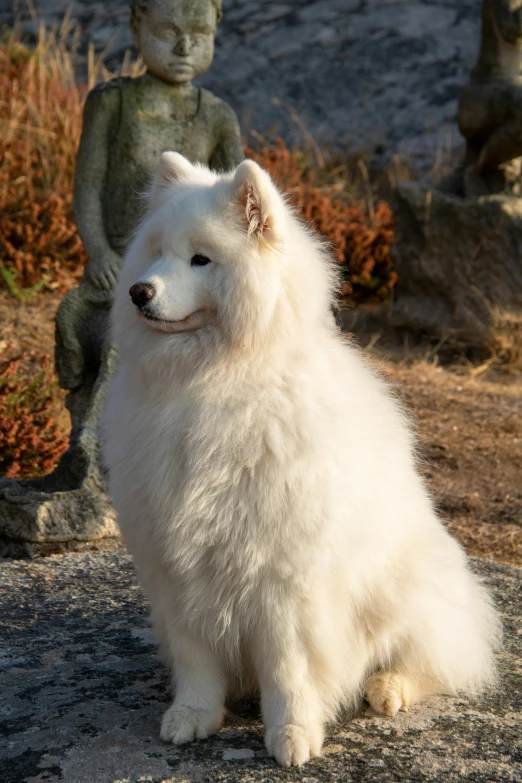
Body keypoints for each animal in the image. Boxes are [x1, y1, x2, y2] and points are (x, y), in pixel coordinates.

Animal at [102, 152, 500, 764]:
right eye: (157, 252)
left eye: (200, 258)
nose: (139, 292)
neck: (209, 384)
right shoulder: (176, 568)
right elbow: (196, 660)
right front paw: (193, 715)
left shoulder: (284, 576)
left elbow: (289, 671)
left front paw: (291, 734)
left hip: (406, 594)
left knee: (433, 661)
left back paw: (388, 687)